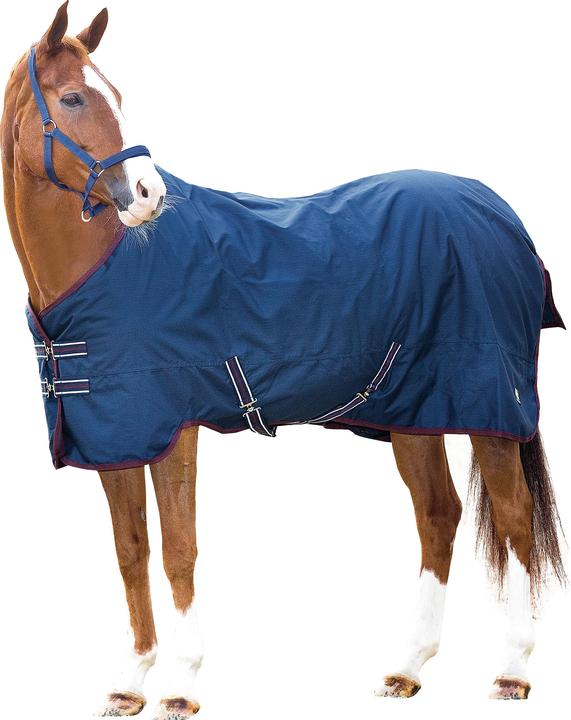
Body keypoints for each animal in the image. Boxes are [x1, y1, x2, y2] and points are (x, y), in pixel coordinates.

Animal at [1, 3, 566, 717]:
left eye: (117, 96)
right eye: (73, 98)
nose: (148, 194)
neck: (111, 269)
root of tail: (500, 213)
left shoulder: (174, 432)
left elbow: (178, 549)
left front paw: (182, 683)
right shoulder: (116, 438)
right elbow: (131, 551)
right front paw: (131, 681)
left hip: (490, 409)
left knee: (516, 522)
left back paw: (513, 671)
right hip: (415, 411)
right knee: (439, 514)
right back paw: (407, 668)